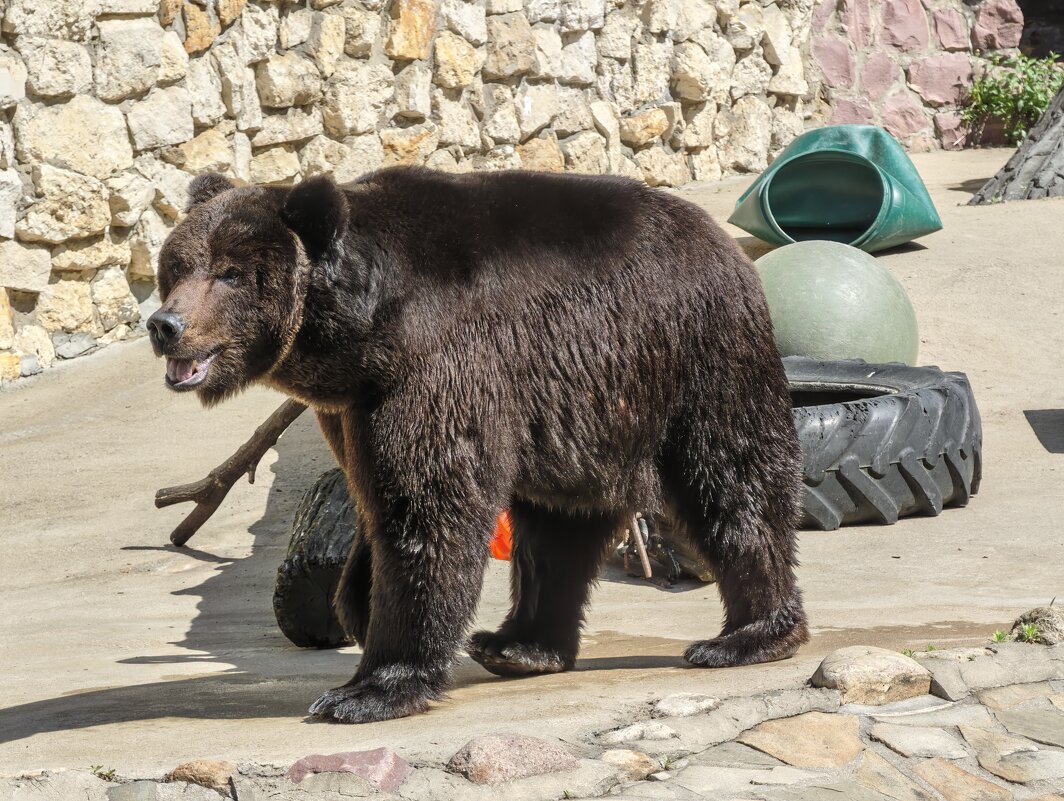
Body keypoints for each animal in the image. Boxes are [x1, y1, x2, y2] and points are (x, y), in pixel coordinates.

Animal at [148, 167, 809, 724]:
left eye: (230, 273)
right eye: (177, 266)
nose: (165, 326)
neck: (361, 336)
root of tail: (719, 238)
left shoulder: (438, 369)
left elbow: (428, 508)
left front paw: (367, 689)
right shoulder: (355, 408)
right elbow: (375, 501)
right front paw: (356, 605)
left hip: (691, 357)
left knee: (730, 479)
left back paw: (748, 635)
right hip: (579, 411)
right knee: (559, 522)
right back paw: (520, 645)